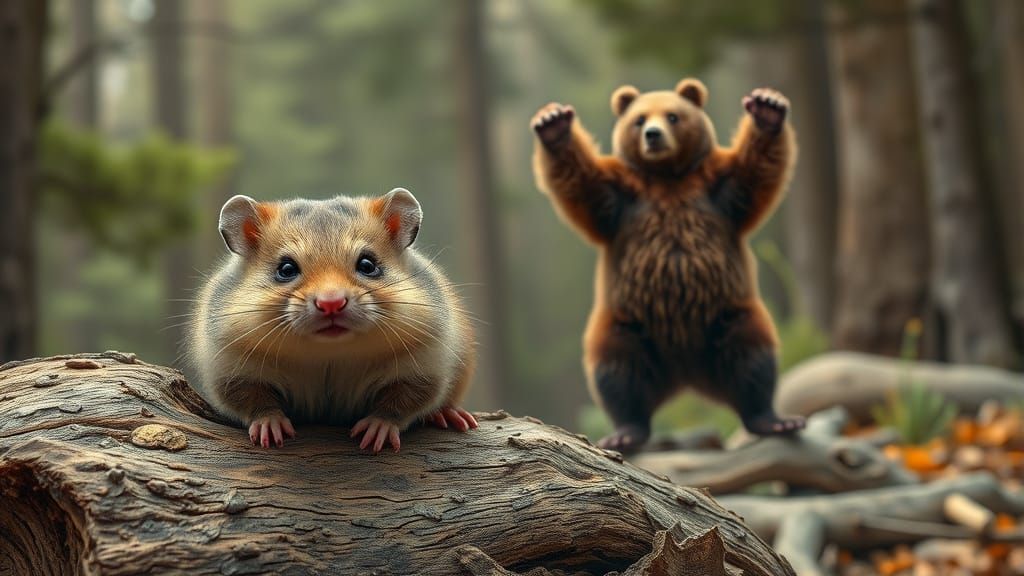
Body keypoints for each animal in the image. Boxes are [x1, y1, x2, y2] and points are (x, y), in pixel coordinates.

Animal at [188, 188, 477, 452]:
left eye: (368, 265)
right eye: (286, 269)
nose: (331, 304)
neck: (329, 352)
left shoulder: (423, 370)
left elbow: (398, 404)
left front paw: (375, 435)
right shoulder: (232, 373)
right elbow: (257, 402)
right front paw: (271, 430)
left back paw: (451, 416)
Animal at [531, 78, 804, 451]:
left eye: (673, 116)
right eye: (639, 119)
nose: (653, 134)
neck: (667, 177)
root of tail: (686, 373)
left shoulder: (718, 188)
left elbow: (756, 171)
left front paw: (767, 107)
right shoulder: (621, 200)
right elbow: (580, 183)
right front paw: (553, 122)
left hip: (729, 314)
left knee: (752, 357)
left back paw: (774, 419)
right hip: (628, 324)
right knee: (617, 370)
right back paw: (624, 431)